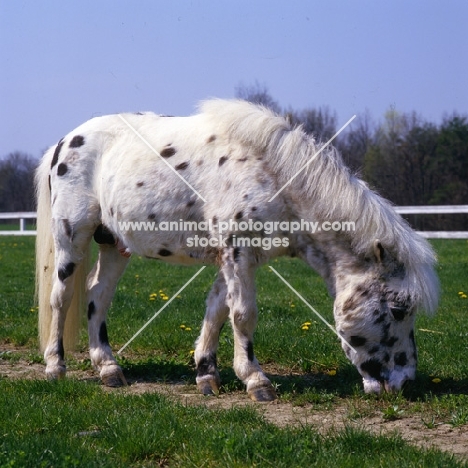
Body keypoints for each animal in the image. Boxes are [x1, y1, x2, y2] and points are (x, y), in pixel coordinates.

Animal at [35, 98, 438, 398]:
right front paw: (256, 380)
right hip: (73, 237)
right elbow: (243, 314)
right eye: (398, 309)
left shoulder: (231, 260)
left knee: (97, 296)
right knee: (62, 297)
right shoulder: (238, 254)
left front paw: (206, 374)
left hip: (114, 244)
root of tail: (63, 142)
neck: (275, 177)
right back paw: (56, 366)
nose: (405, 383)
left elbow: (217, 309)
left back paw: (109, 368)